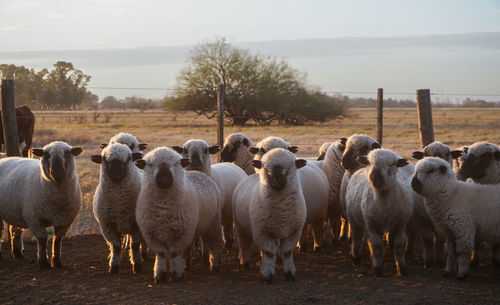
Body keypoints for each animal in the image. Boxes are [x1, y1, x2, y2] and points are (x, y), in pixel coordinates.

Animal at [90, 142, 146, 274]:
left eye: (129, 158)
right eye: (104, 159)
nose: (116, 172)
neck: (119, 201)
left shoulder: (136, 225)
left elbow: (135, 246)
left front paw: (137, 265)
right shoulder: (107, 225)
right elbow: (116, 246)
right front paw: (114, 266)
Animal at [136, 146, 224, 282]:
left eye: (176, 163)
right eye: (149, 164)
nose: (164, 177)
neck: (164, 206)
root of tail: (197, 172)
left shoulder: (180, 233)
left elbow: (174, 253)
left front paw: (177, 274)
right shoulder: (152, 234)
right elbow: (162, 254)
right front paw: (159, 274)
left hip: (213, 223)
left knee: (214, 244)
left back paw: (215, 265)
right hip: (193, 228)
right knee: (189, 246)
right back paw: (187, 264)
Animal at [232, 147, 306, 282]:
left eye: (290, 166)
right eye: (264, 167)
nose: (276, 179)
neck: (281, 211)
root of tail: (252, 175)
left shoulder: (294, 231)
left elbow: (287, 252)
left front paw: (290, 274)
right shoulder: (261, 231)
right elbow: (269, 253)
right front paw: (267, 275)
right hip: (241, 226)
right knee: (244, 244)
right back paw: (244, 263)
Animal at [346, 148, 412, 276]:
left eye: (392, 164)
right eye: (369, 162)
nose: (375, 178)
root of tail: (360, 169)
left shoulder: (401, 224)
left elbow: (398, 247)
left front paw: (402, 268)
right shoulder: (372, 225)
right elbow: (377, 247)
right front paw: (378, 269)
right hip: (354, 219)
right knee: (356, 238)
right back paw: (356, 258)